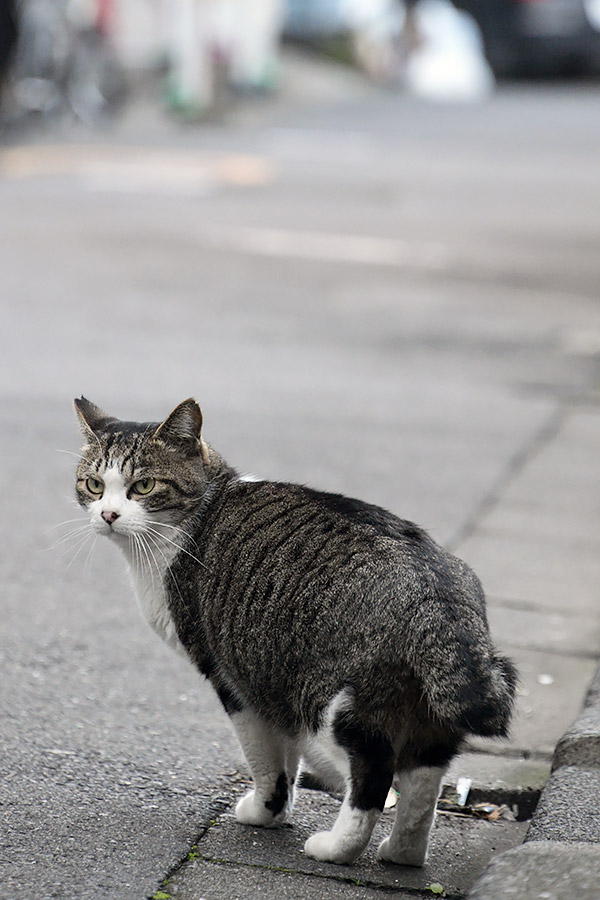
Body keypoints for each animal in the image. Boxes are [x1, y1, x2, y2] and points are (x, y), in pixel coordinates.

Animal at [74, 398, 516, 868]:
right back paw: (402, 854)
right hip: (426, 717)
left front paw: (264, 812)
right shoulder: (266, 676)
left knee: (373, 777)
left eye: (143, 486)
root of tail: (435, 594)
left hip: (327, 705)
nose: (108, 515)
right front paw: (279, 812)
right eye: (94, 484)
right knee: (423, 783)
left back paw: (335, 848)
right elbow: (285, 754)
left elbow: (266, 761)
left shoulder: (232, 676)